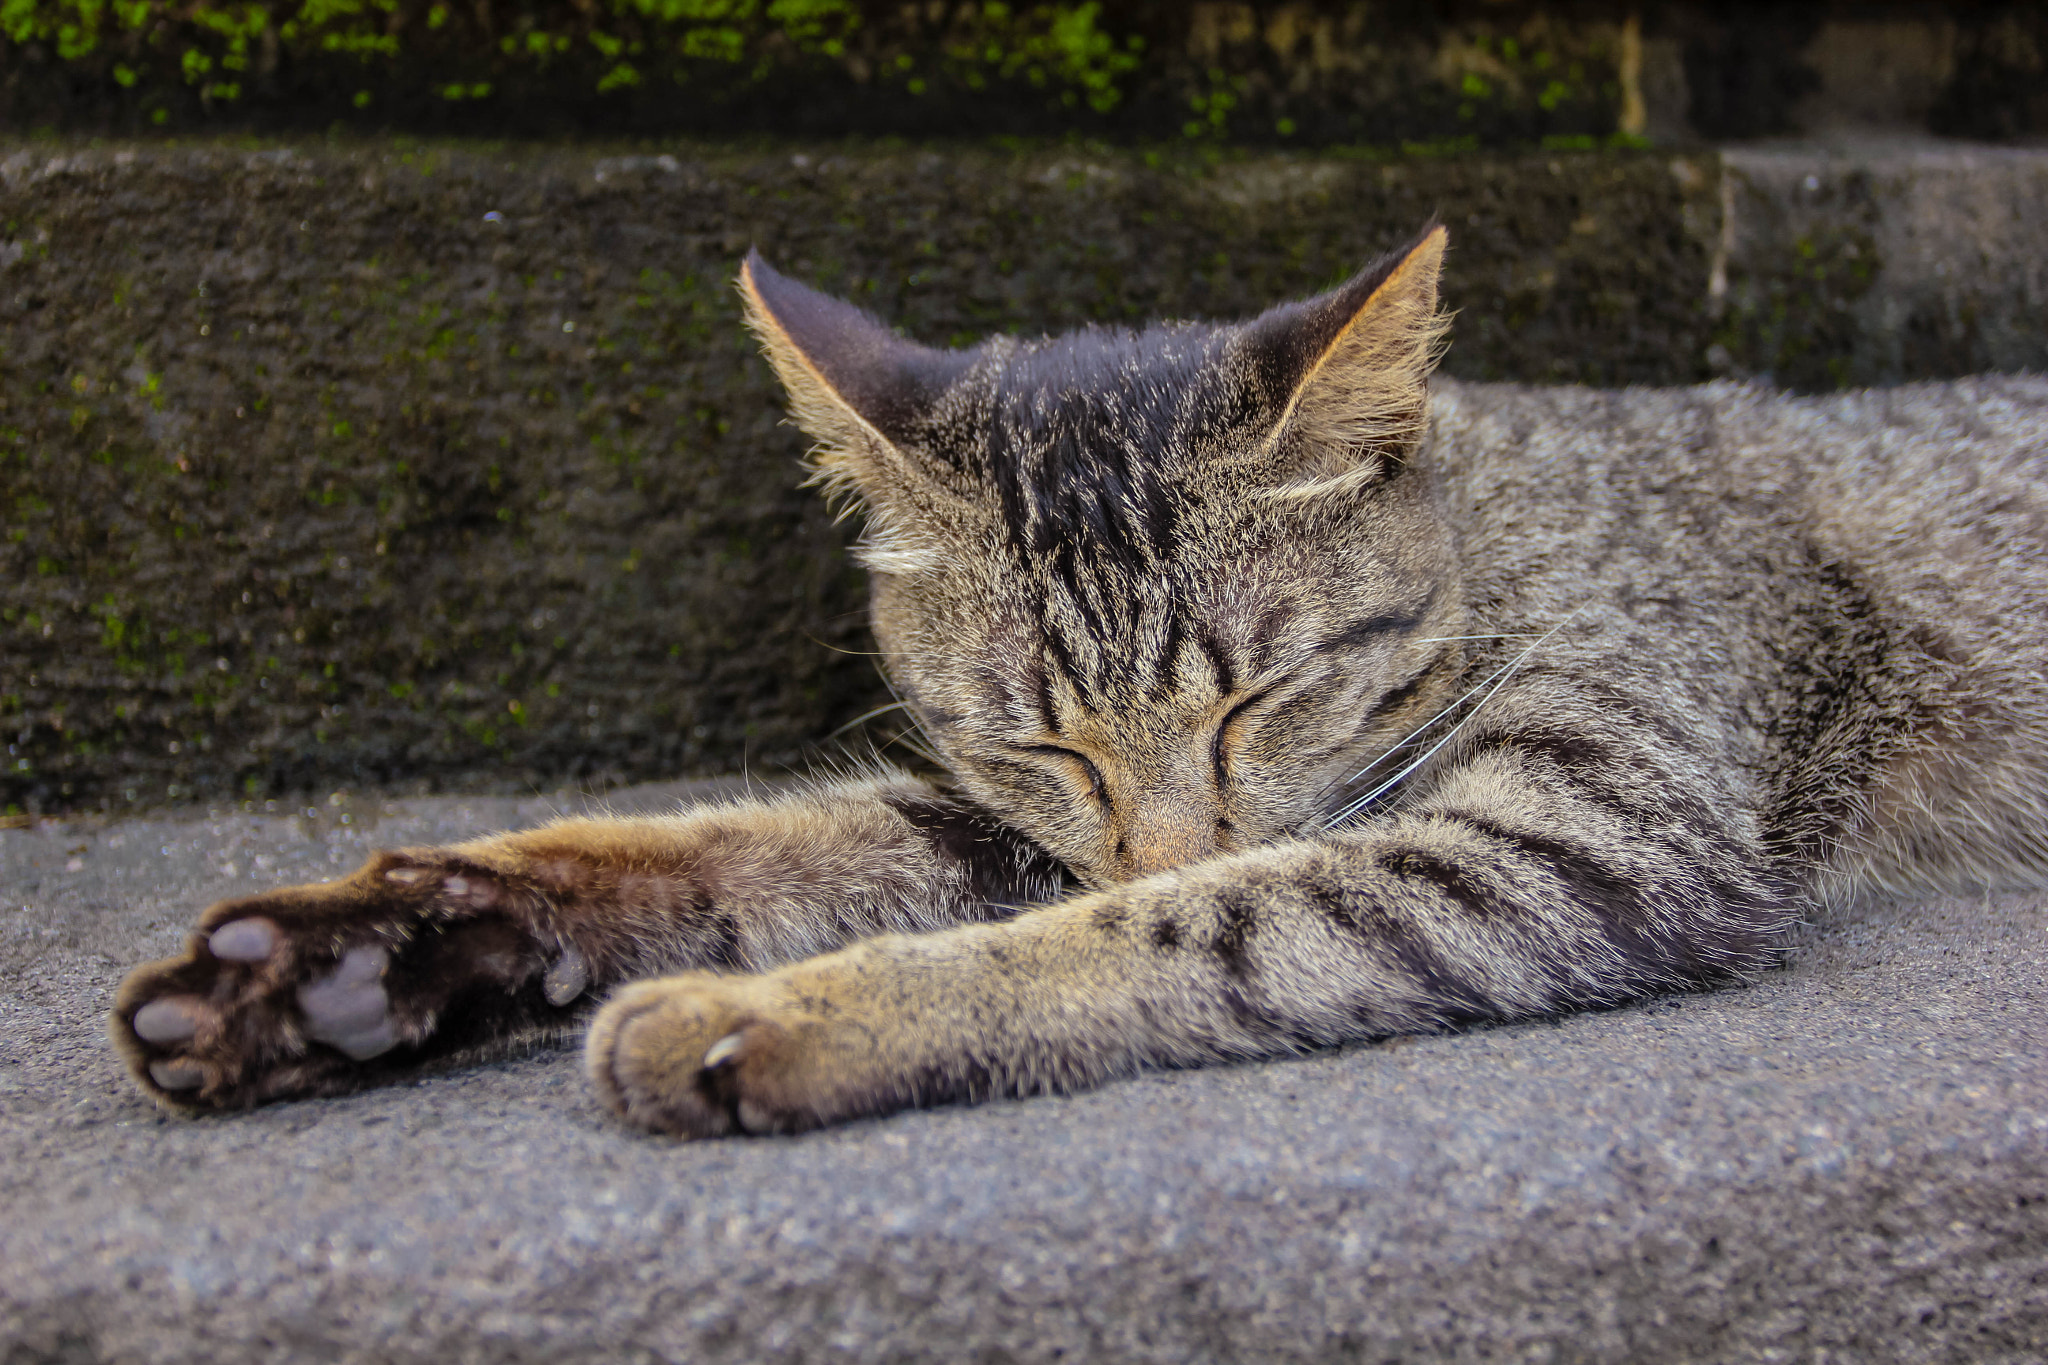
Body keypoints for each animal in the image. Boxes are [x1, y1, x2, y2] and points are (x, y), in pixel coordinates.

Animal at [108, 229, 2048, 1137]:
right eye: (1045, 742)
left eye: (1254, 704)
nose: (1175, 829)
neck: (1497, 519)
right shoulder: (999, 814)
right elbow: (736, 847)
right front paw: (362, 954)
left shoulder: (1591, 820)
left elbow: (1172, 927)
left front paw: (783, 1017)